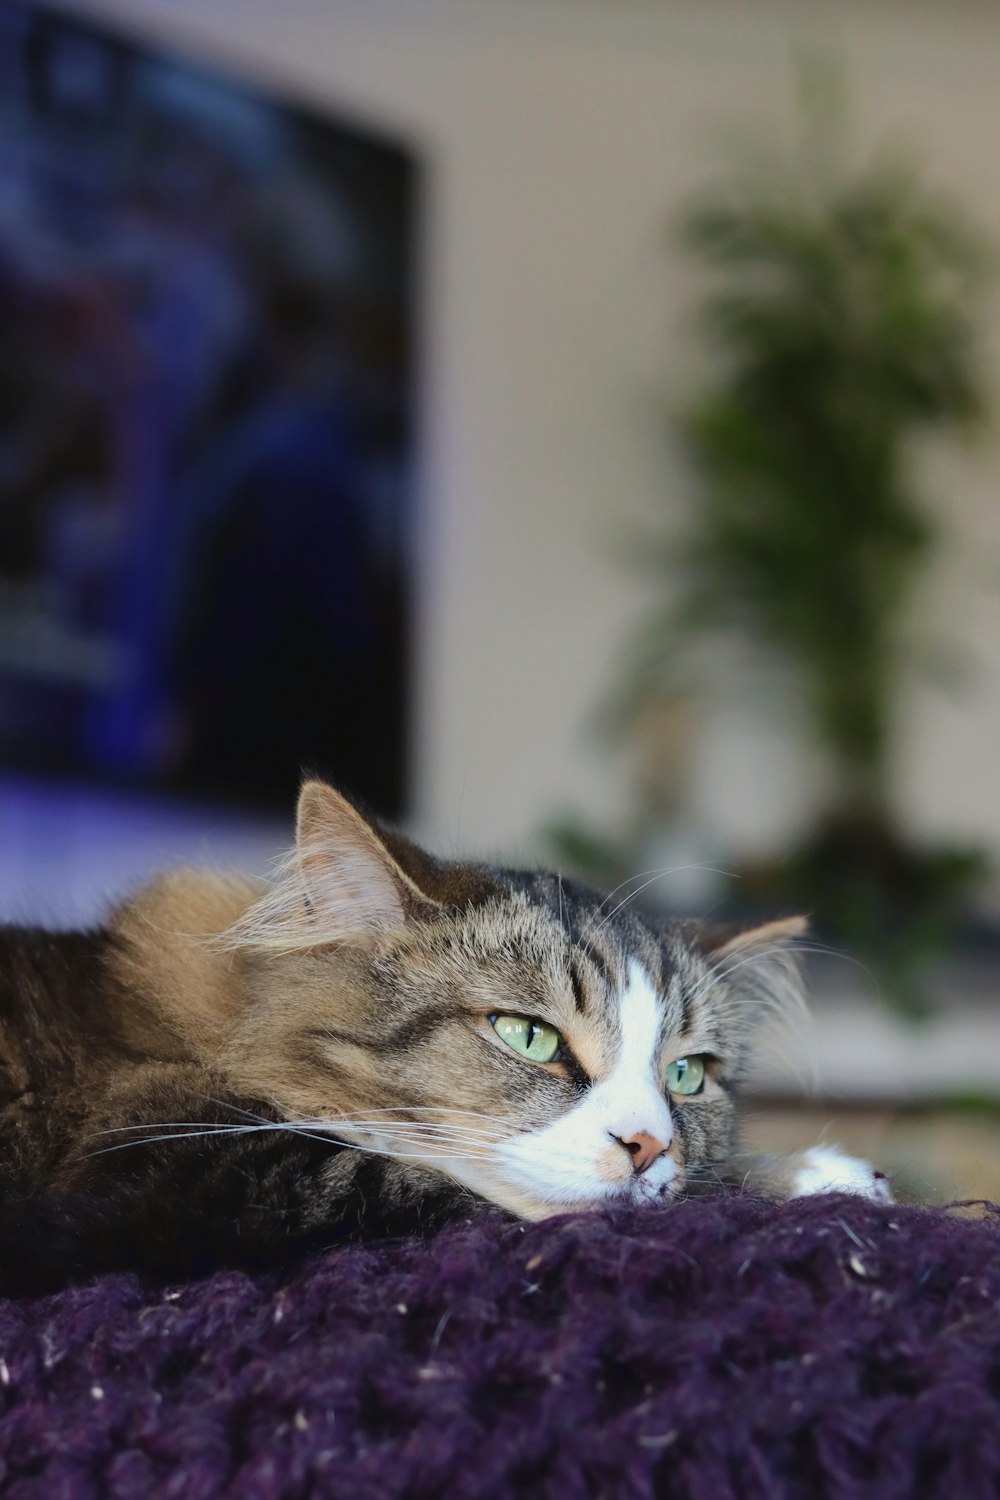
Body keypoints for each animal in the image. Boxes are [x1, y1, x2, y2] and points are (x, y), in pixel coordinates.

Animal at [0, 780, 893, 1296]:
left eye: (685, 1077)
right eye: (528, 1037)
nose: (648, 1145)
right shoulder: (194, 1170)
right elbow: (467, 1191)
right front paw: (821, 1175)